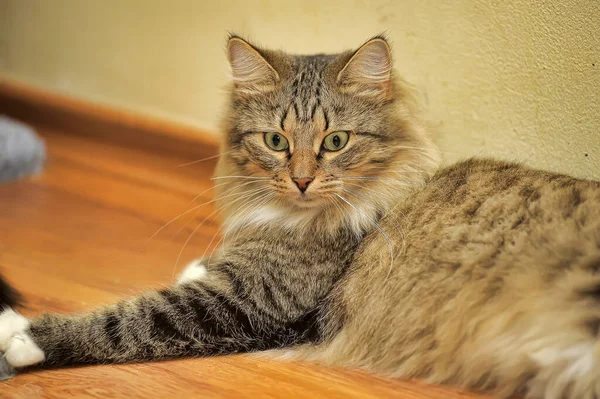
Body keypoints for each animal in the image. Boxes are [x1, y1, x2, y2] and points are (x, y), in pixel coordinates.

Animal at [1, 35, 600, 399]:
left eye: (335, 141)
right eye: (275, 141)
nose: (304, 179)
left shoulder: (250, 304)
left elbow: (127, 319)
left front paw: (18, 332)